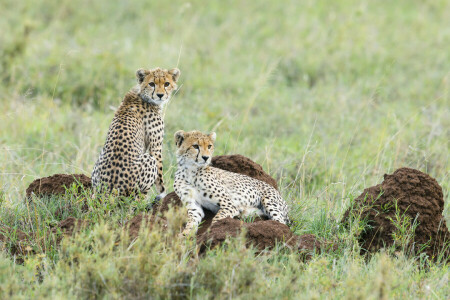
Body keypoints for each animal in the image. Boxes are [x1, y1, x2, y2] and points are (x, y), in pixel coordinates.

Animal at [91, 67, 181, 198]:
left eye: (166, 84)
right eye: (152, 84)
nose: (160, 95)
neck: (142, 95)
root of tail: (107, 191)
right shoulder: (155, 148)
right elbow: (160, 176)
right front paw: (164, 194)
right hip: (148, 161)